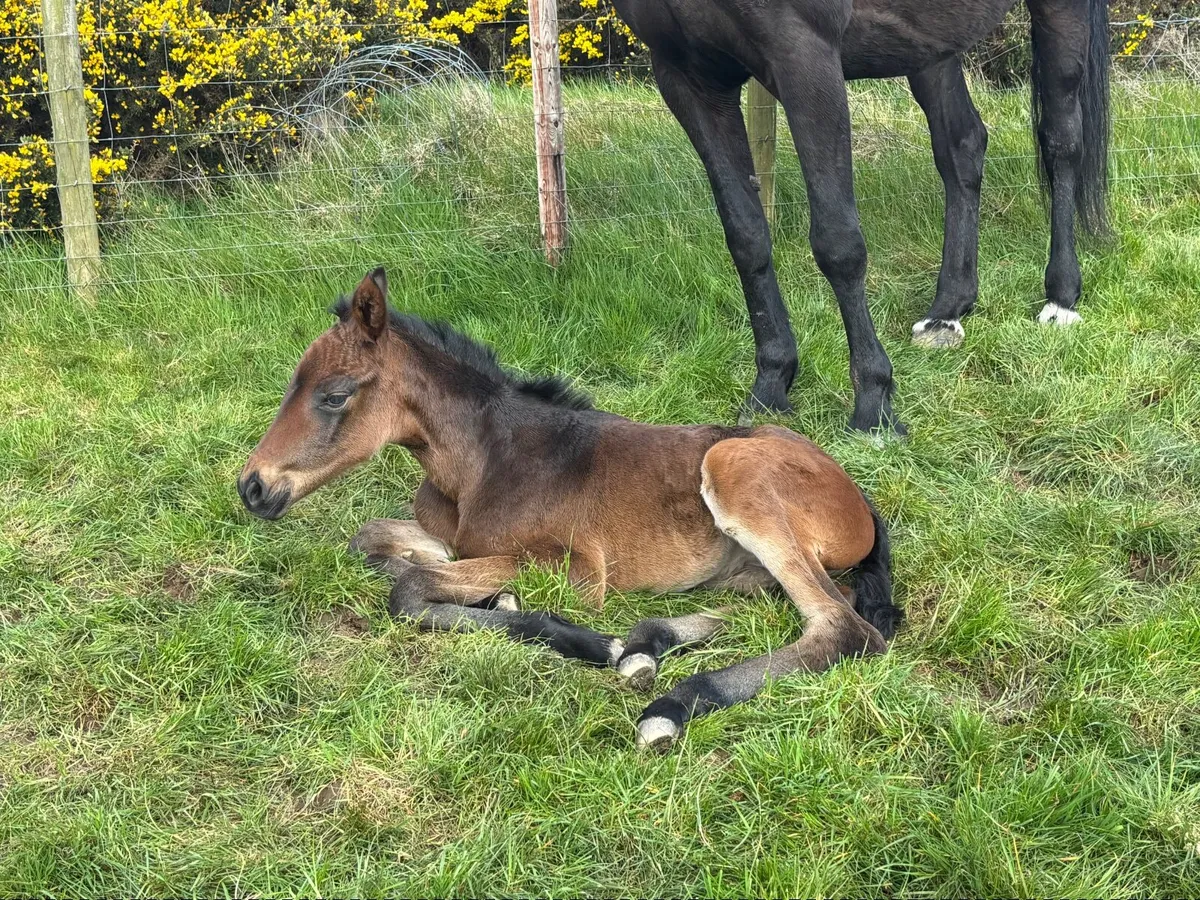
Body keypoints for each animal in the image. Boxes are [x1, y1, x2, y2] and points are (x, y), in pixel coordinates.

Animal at [238, 268, 903, 750]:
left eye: (333, 396)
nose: (252, 487)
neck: (484, 461)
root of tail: (858, 500)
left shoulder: (577, 570)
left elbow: (410, 589)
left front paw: (573, 636)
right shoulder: (449, 538)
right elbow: (371, 541)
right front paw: (500, 601)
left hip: (735, 473)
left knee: (843, 626)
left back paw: (669, 704)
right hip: (743, 571)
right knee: (769, 609)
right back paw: (645, 648)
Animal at [607, 0, 1110, 433]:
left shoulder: (804, 55)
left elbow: (838, 243)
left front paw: (873, 403)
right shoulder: (687, 76)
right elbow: (745, 236)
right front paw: (771, 385)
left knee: (1062, 141)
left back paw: (1061, 297)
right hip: (930, 42)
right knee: (962, 147)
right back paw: (946, 311)